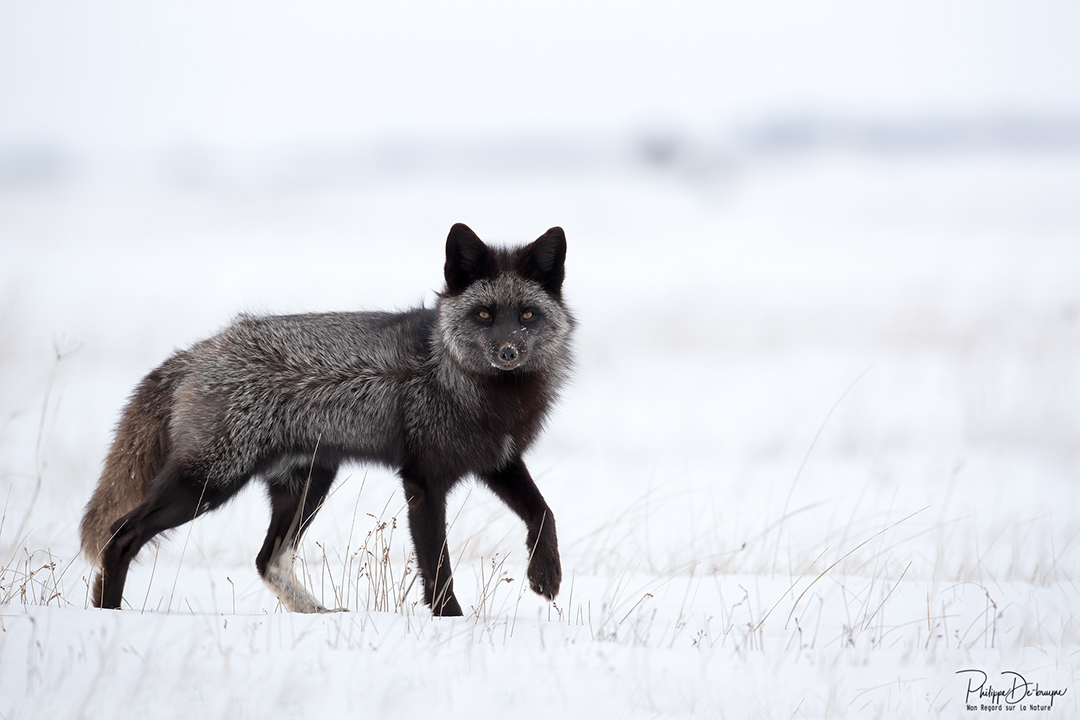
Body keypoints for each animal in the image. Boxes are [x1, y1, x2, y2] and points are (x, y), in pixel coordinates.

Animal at [79, 223, 573, 616]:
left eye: (527, 315)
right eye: (484, 314)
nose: (507, 352)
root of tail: (202, 349)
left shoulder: (497, 460)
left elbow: (544, 512)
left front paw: (545, 574)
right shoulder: (424, 480)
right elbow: (437, 566)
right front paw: (450, 623)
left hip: (307, 484)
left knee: (267, 560)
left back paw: (318, 614)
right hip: (208, 483)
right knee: (120, 534)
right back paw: (108, 617)